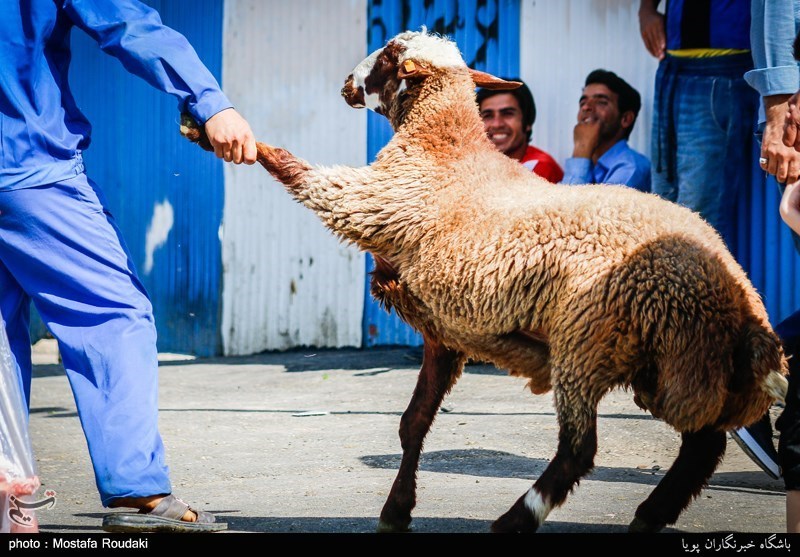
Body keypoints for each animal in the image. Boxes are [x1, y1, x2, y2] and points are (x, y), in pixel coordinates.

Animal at [180, 29, 788, 536]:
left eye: (388, 55)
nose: (347, 84)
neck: (446, 146)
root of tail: (737, 301)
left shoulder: (368, 202)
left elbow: (298, 170)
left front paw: (217, 133)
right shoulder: (443, 329)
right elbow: (412, 424)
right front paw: (396, 510)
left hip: (590, 340)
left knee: (581, 450)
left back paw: (516, 521)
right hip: (670, 363)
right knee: (702, 444)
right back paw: (648, 517)